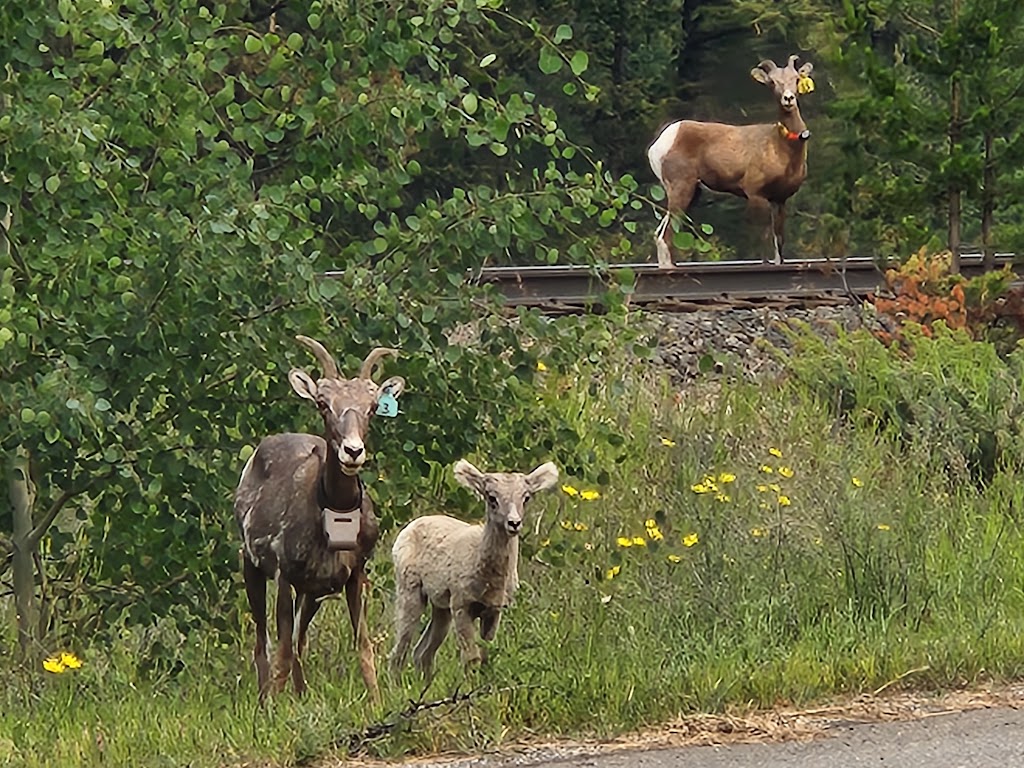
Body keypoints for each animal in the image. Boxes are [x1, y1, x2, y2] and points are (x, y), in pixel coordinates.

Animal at [234, 335, 405, 704]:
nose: (352, 452)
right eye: (323, 404)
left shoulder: (354, 576)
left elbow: (363, 647)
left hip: (312, 593)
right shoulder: (284, 574)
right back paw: (264, 699)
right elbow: (282, 651)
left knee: (300, 641)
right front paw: (273, 709)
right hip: (252, 567)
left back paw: (300, 695)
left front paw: (377, 704)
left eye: (373, 407)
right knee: (263, 642)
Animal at [387, 456, 561, 679]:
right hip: (410, 590)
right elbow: (471, 659)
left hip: (441, 606)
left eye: (526, 497)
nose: (514, 523)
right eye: (491, 497)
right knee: (399, 650)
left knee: (423, 652)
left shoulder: (494, 610)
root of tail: (408, 528)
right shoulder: (462, 604)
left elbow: (486, 657)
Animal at [647, 54, 815, 268]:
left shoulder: (779, 199)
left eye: (796, 79)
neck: (782, 149)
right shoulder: (756, 195)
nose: (788, 98)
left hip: (691, 193)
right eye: (772, 82)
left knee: (659, 234)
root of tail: (658, 145)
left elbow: (779, 243)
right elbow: (765, 240)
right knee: (666, 236)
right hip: (681, 189)